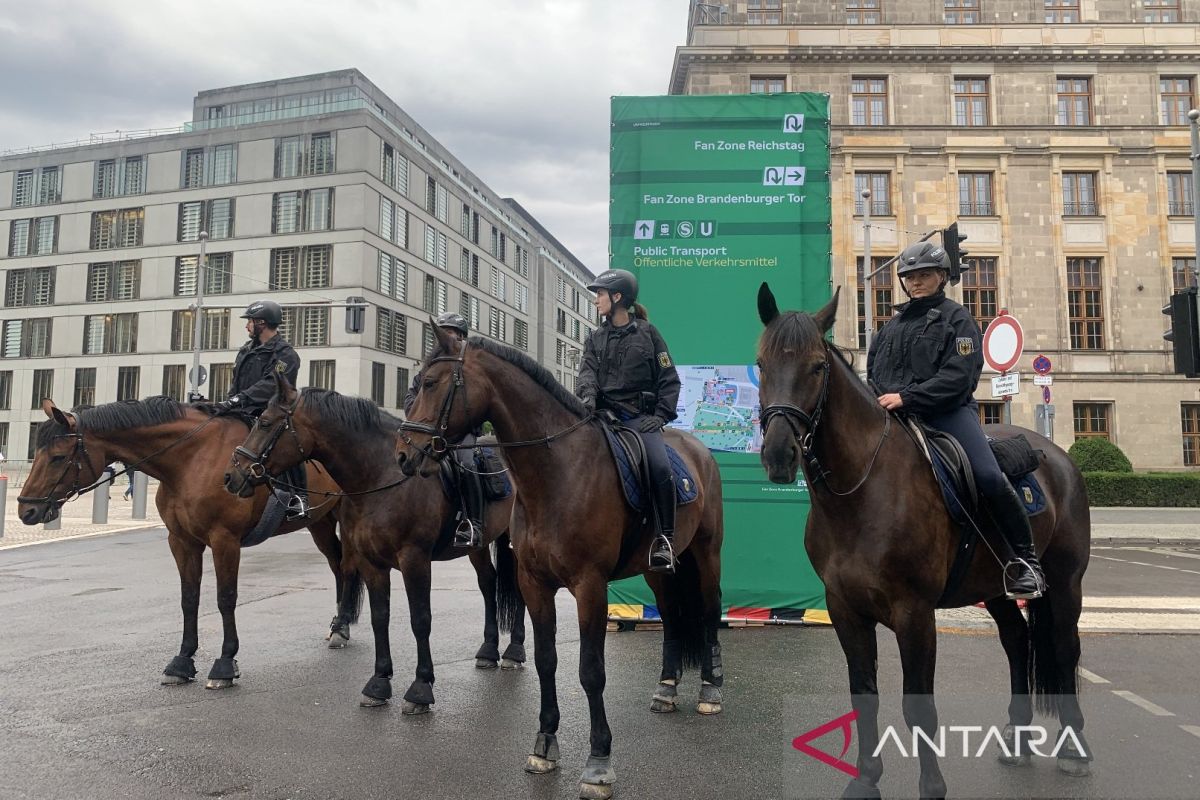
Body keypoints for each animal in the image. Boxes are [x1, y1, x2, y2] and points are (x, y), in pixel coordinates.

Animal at [17, 398, 355, 690]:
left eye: (58, 457)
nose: (26, 510)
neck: (191, 461)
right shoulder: (181, 541)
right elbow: (189, 599)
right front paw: (182, 661)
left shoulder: (224, 540)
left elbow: (225, 598)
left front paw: (225, 663)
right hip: (319, 523)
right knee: (337, 566)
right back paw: (338, 626)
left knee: (343, 567)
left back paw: (341, 628)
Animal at [225, 376, 525, 714]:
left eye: (264, 422)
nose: (232, 475)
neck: (380, 477)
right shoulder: (371, 562)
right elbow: (379, 617)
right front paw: (379, 682)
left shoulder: (414, 559)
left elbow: (420, 619)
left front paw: (421, 688)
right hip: (476, 546)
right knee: (488, 583)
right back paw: (488, 649)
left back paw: (514, 650)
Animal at [398, 331, 724, 800]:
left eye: (430, 383)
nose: (404, 454)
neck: (556, 475)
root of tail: (698, 450)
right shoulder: (535, 584)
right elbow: (546, 660)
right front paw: (545, 743)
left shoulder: (590, 586)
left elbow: (591, 671)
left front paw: (599, 760)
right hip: (658, 567)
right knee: (673, 618)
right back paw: (665, 688)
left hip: (706, 552)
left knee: (710, 611)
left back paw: (711, 689)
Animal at [758, 283, 1099, 800]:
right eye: (761, 363)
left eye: (817, 366)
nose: (779, 454)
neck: (862, 492)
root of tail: (1057, 456)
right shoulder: (845, 610)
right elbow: (865, 697)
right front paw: (866, 779)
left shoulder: (914, 614)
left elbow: (918, 707)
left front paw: (931, 786)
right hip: (994, 590)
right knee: (1017, 643)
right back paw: (1017, 741)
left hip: (1064, 585)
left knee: (1064, 649)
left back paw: (1074, 749)